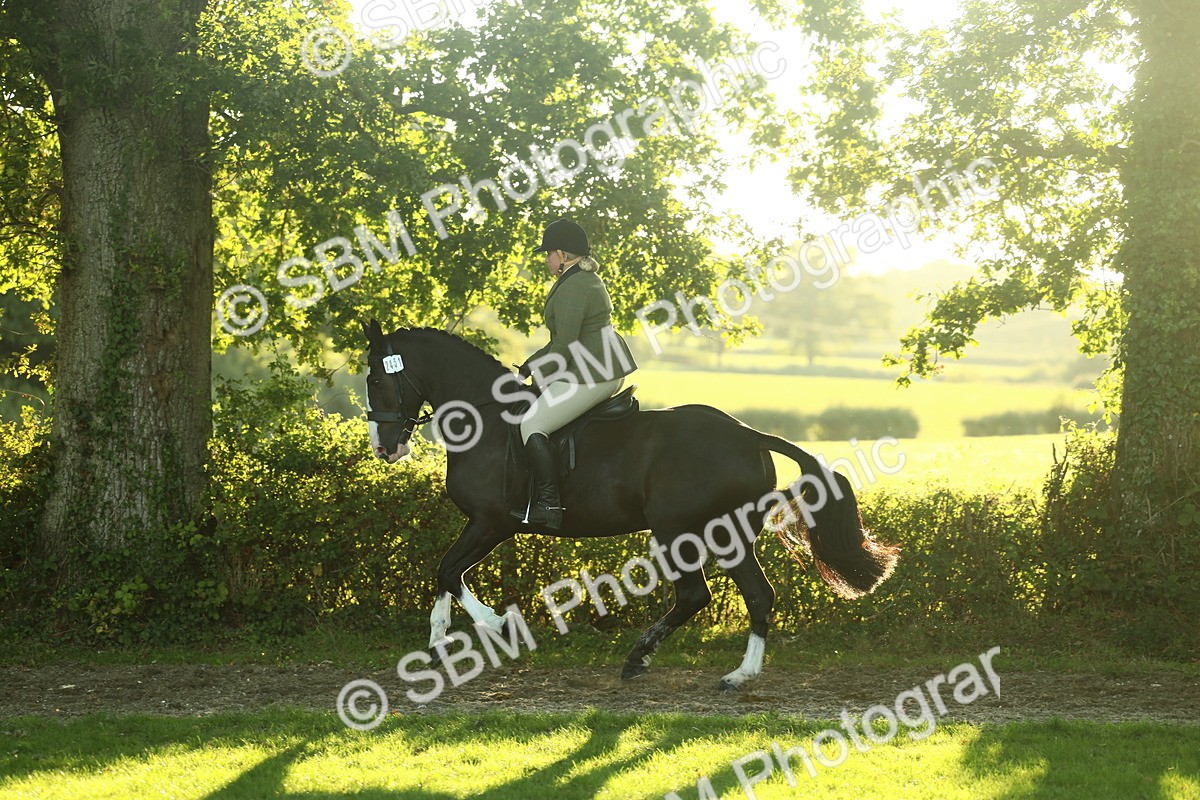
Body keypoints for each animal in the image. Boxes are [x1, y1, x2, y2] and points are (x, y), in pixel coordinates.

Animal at [361, 320, 899, 691]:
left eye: (376, 380)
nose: (385, 448)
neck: (485, 418)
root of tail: (748, 434)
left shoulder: (492, 522)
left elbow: (449, 572)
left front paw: (499, 626)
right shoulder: (482, 524)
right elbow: (444, 573)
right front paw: (438, 646)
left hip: (681, 529)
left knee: (698, 595)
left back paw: (649, 659)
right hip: (729, 533)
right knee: (755, 595)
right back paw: (737, 674)